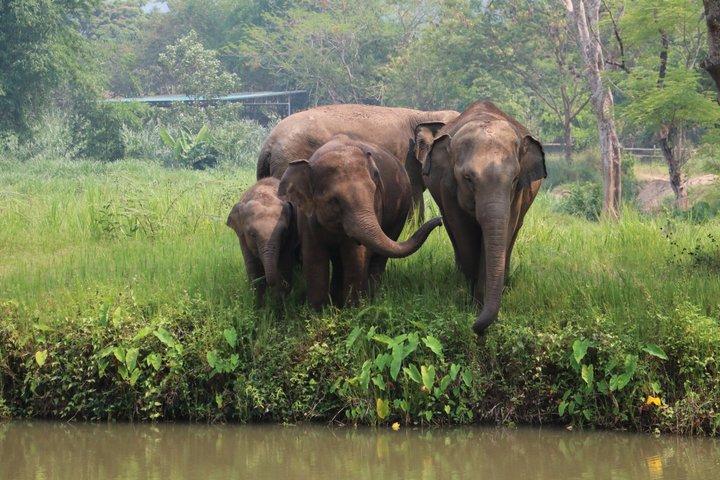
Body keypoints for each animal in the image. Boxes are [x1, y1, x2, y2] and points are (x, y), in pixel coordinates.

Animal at [279, 135, 443, 309]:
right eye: (334, 201)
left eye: (373, 193)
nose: (440, 220)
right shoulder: (306, 216)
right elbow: (314, 255)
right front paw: (318, 310)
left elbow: (355, 254)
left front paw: (353, 309)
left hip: (399, 213)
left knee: (380, 256)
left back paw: (371, 296)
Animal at [416, 100, 546, 335]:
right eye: (468, 178)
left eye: (515, 179)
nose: (474, 327)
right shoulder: (447, 186)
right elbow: (463, 231)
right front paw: (471, 302)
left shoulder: (517, 195)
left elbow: (503, 229)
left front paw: (479, 303)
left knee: (514, 232)